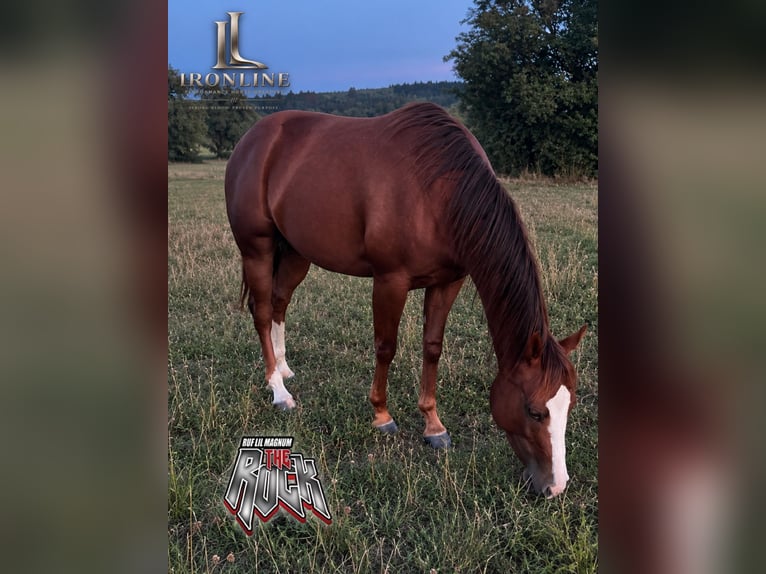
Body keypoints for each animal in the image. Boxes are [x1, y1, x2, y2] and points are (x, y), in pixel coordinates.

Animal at [225, 102, 587, 497]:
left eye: (570, 405)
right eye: (535, 411)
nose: (557, 486)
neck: (437, 190)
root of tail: (254, 138)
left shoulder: (448, 282)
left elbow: (432, 347)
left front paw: (434, 426)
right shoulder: (390, 281)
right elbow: (386, 347)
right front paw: (382, 416)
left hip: (294, 252)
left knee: (279, 303)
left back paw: (284, 367)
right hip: (257, 249)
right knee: (262, 311)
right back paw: (278, 389)